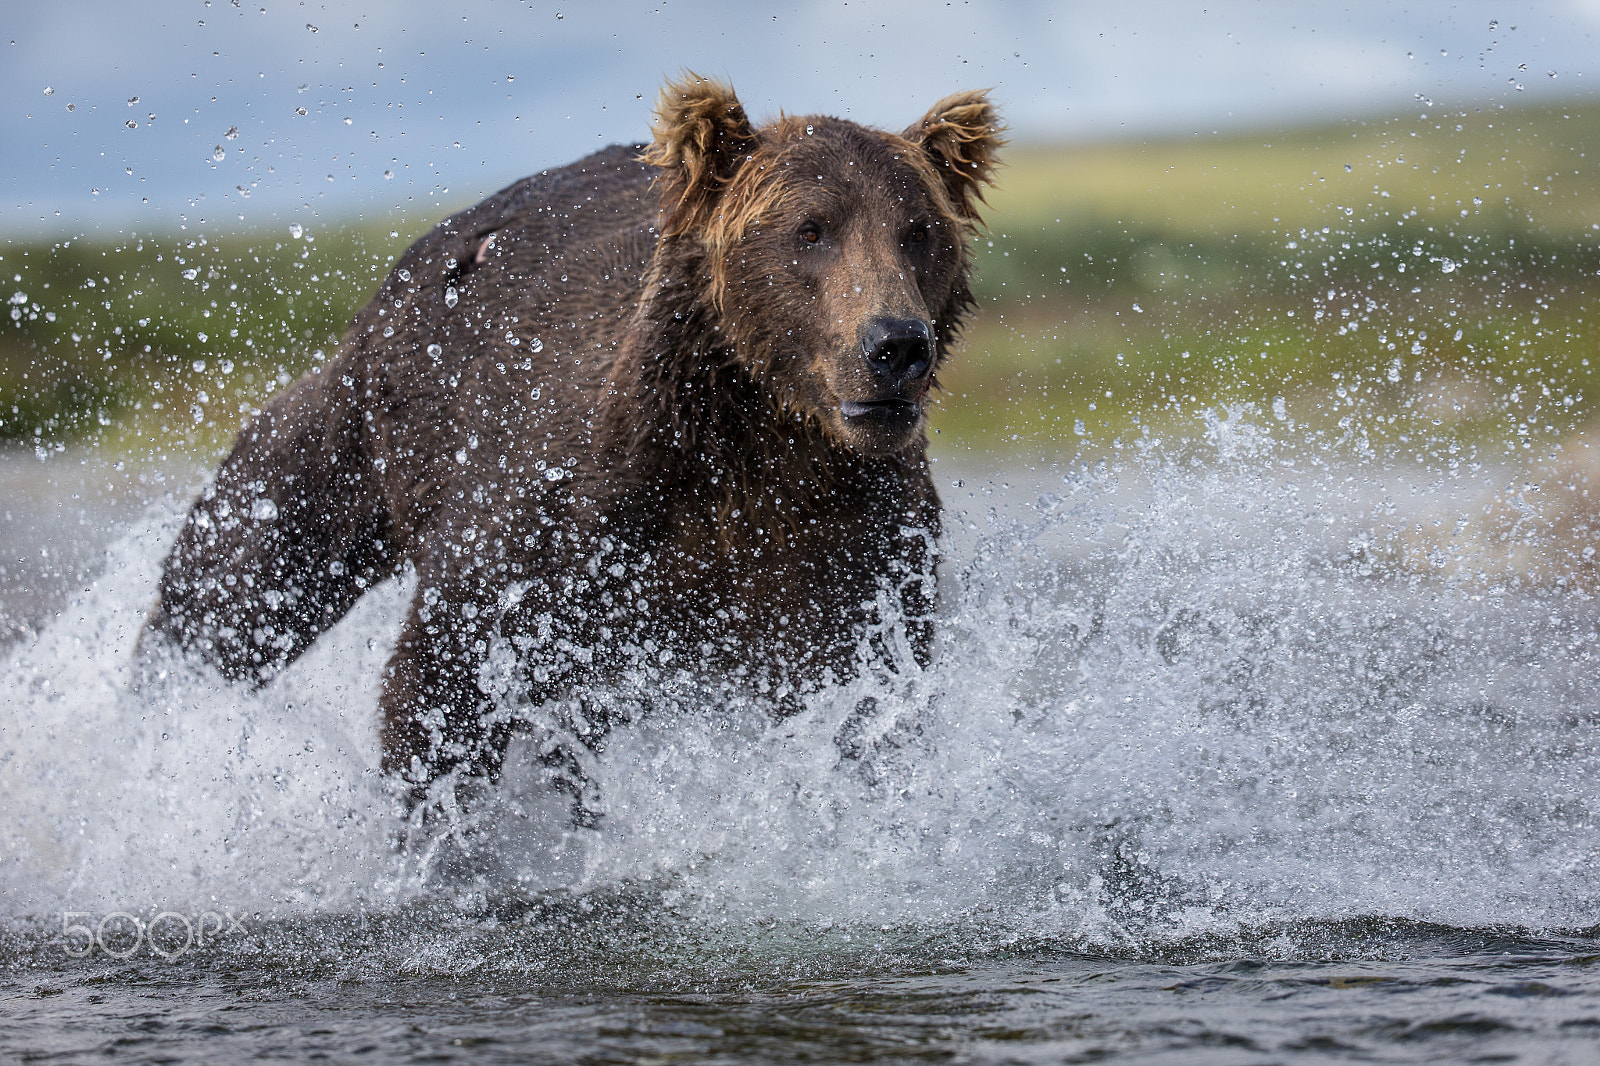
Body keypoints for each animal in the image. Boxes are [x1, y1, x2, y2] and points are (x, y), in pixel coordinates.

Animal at [147, 74, 998, 800]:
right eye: (809, 230)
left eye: (920, 231)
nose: (895, 344)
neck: (758, 446)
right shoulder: (559, 521)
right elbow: (441, 683)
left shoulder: (855, 548)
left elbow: (869, 700)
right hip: (370, 418)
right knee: (240, 574)